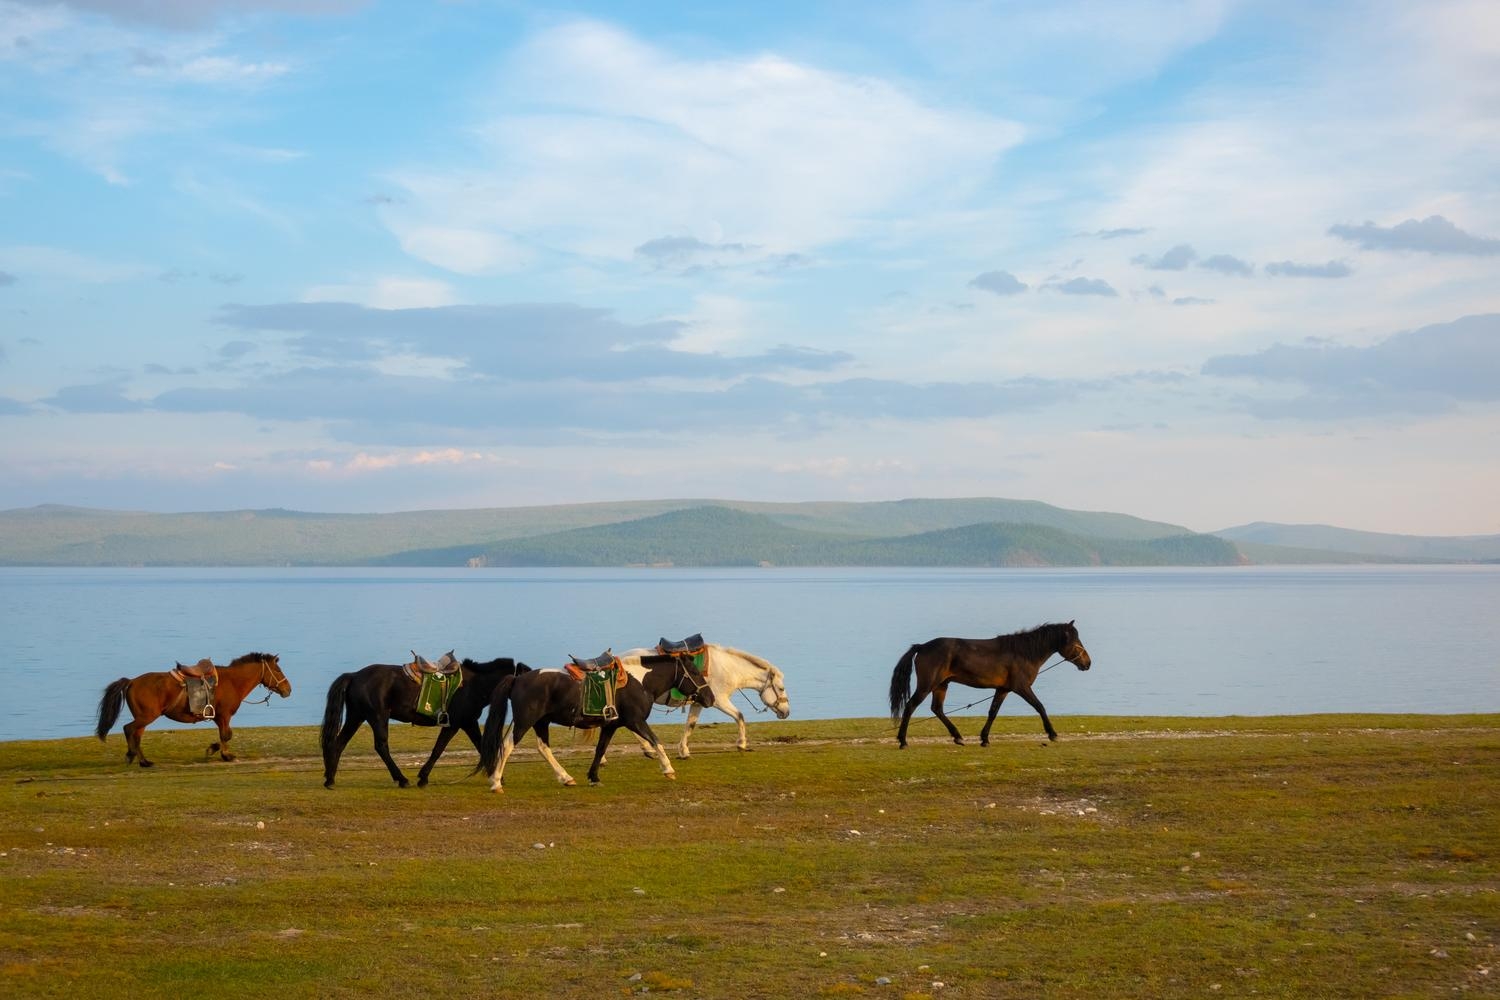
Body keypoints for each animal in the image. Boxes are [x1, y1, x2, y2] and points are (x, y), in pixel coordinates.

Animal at [95, 652, 291, 767]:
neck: (232, 682)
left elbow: (225, 735)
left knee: (136, 735)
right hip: (147, 716)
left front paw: (214, 749)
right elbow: (226, 735)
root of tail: (132, 681)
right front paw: (224, 754)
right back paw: (132, 755)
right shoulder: (224, 715)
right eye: (278, 670)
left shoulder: (220, 717)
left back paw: (144, 761)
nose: (288, 689)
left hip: (144, 718)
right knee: (128, 729)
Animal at [320, 652, 531, 788]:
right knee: (381, 746)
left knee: (339, 743)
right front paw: (423, 778)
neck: (473, 685)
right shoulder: (454, 724)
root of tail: (354, 675)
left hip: (356, 716)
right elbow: (438, 749)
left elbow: (480, 746)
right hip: (377, 716)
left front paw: (497, 776)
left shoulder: (468, 723)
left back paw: (330, 779)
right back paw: (402, 779)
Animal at [477, 653, 715, 792]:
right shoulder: (635, 721)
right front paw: (668, 769)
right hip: (525, 721)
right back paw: (496, 782)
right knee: (507, 745)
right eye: (695, 672)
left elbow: (600, 749)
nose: (710, 698)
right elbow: (656, 741)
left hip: (541, 723)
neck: (640, 682)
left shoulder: (610, 725)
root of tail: (518, 679)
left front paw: (593, 777)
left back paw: (566, 778)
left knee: (543, 748)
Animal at [615, 644, 790, 758]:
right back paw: (647, 748)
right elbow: (739, 716)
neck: (728, 668)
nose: (786, 712)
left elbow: (690, 725)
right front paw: (741, 744)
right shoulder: (719, 700)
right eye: (781, 688)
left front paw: (683, 751)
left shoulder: (699, 703)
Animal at [888, 621, 1092, 749]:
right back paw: (903, 741)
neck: (1023, 653)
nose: (1088, 663)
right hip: (927, 685)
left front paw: (984, 738)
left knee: (937, 709)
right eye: (1075, 641)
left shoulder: (1003, 689)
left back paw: (958, 737)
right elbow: (1039, 706)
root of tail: (922, 646)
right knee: (910, 706)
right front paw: (1052, 733)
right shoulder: (1022, 687)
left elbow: (993, 712)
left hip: (941, 685)